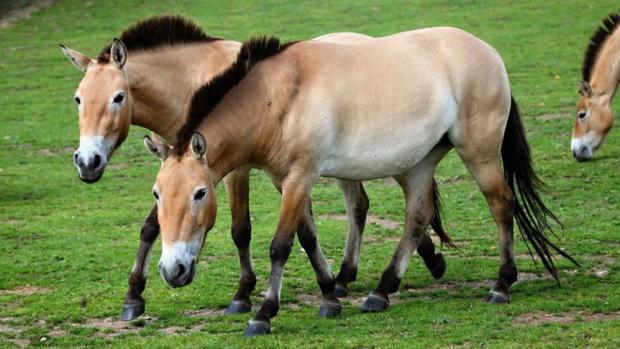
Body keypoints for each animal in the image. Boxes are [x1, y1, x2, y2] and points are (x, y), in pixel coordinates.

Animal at [60, 15, 452, 320]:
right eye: (78, 99)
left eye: (118, 97)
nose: (87, 161)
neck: (193, 81)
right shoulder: (180, 169)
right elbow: (151, 226)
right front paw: (134, 295)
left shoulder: (232, 171)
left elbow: (241, 230)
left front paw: (243, 295)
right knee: (362, 205)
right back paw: (354, 275)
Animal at [149, 31, 576, 336]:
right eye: (157, 194)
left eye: (200, 193)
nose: (172, 270)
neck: (280, 98)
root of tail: (489, 53)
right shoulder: (288, 180)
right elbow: (308, 237)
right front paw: (330, 295)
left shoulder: (301, 177)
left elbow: (281, 246)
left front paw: (263, 314)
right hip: (421, 163)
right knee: (417, 217)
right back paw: (382, 291)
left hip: (479, 154)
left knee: (501, 205)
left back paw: (502, 284)